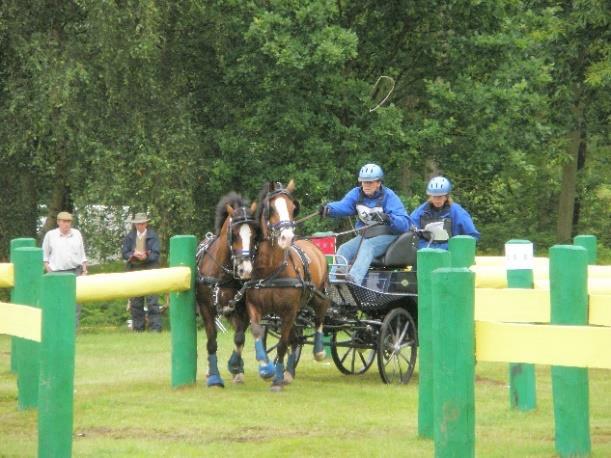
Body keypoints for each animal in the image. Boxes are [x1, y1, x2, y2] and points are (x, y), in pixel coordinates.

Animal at [196, 191, 258, 388]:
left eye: (255, 234)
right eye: (235, 234)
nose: (246, 270)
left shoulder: (242, 309)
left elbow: (239, 338)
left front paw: (236, 367)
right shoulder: (206, 309)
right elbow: (211, 341)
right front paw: (214, 376)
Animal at [245, 181, 332, 388]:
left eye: (293, 208)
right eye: (271, 208)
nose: (287, 237)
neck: (270, 271)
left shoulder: (288, 311)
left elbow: (282, 344)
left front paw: (276, 380)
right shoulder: (255, 306)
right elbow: (257, 331)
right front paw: (266, 368)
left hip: (316, 294)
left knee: (320, 312)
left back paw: (318, 351)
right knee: (296, 338)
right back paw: (289, 372)